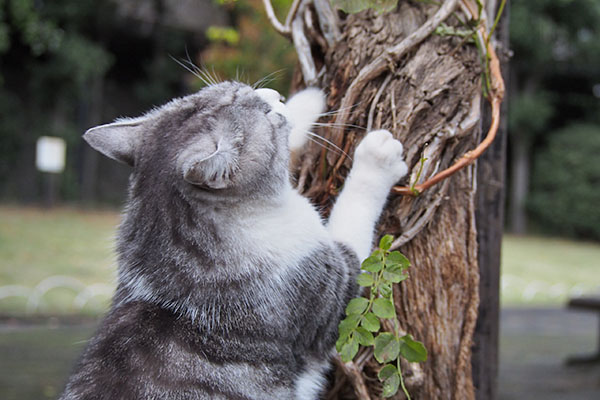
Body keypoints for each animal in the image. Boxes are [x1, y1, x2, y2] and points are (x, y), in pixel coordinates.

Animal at [61, 81, 408, 400]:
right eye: (267, 114)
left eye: (237, 86)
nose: (276, 95)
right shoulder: (332, 291)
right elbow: (355, 214)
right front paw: (377, 158)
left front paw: (308, 99)